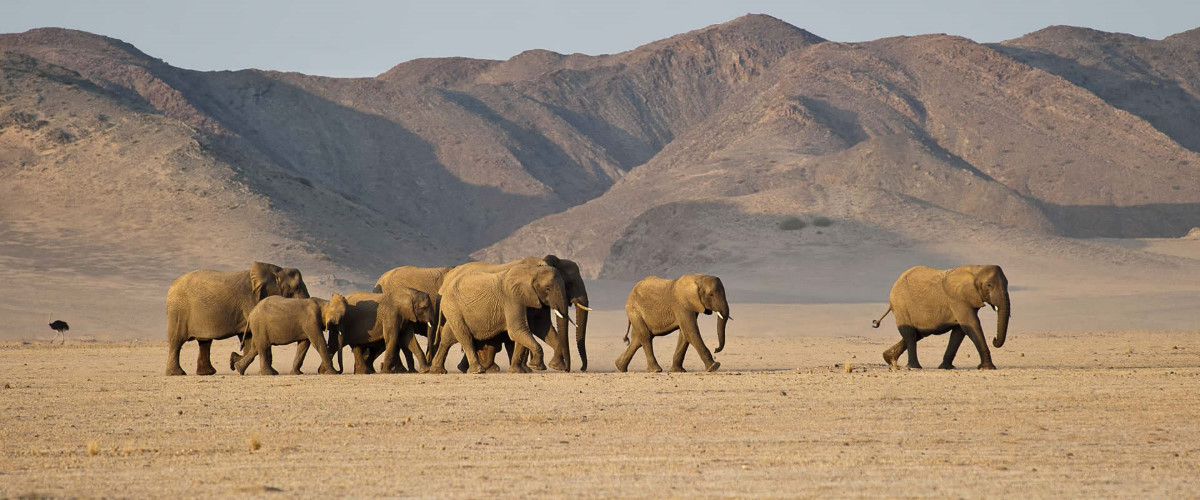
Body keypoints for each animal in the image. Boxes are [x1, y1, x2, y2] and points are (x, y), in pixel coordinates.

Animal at [165, 262, 309, 376]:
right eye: (297, 287)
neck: (274, 271)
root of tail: (171, 287)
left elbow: (250, 337)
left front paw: (233, 361)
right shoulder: (250, 299)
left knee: (205, 342)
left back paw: (207, 373)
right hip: (178, 312)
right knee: (177, 341)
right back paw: (177, 373)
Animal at [442, 255, 591, 372]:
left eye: (565, 285)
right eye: (548, 288)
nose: (571, 369)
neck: (537, 266)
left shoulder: (532, 297)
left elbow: (539, 328)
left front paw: (548, 367)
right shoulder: (513, 297)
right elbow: (518, 329)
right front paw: (537, 367)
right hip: (453, 307)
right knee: (465, 336)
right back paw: (476, 370)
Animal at [871, 265, 1010, 370]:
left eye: (1007, 284)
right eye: (989, 285)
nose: (994, 339)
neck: (976, 269)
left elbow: (960, 331)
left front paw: (946, 367)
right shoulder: (958, 300)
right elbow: (971, 325)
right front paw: (988, 368)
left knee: (918, 334)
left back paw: (889, 358)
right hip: (901, 306)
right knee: (910, 334)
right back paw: (914, 367)